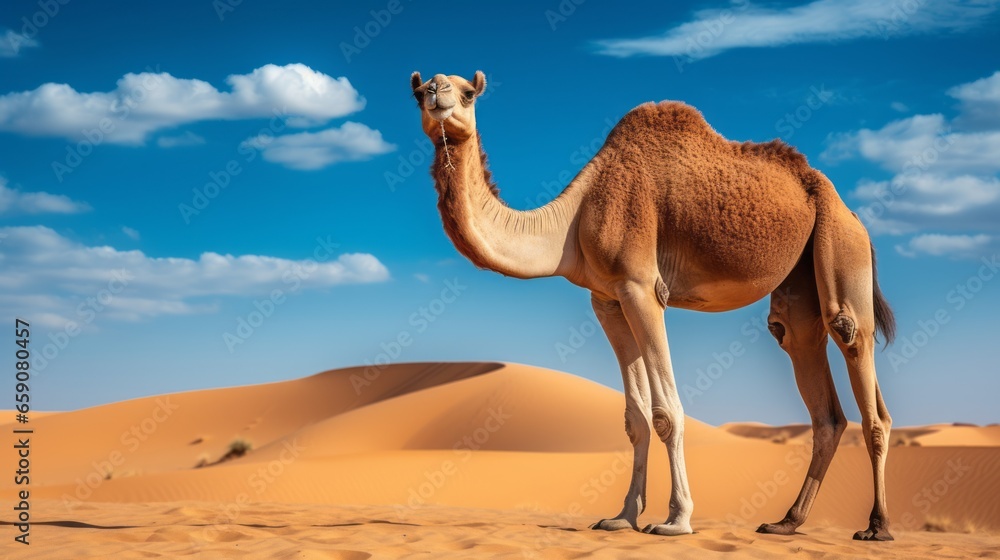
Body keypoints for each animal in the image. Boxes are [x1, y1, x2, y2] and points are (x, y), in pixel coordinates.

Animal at [409, 70, 896, 541]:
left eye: (468, 93)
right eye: (417, 93)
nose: (435, 91)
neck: (574, 219)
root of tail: (851, 212)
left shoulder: (641, 286)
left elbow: (665, 412)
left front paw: (677, 519)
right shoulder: (607, 299)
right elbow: (635, 418)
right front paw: (622, 516)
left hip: (841, 243)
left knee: (855, 349)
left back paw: (877, 526)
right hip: (799, 279)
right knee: (811, 375)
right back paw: (786, 522)